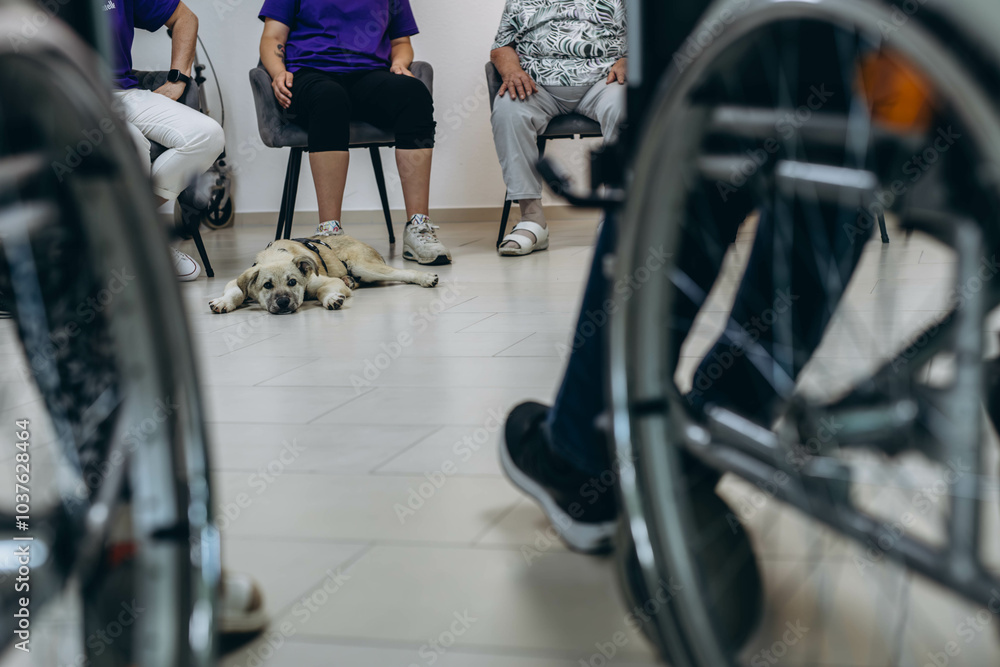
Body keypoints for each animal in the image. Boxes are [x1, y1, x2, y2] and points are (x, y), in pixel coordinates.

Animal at [208, 235, 438, 316]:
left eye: (292, 282)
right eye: (267, 285)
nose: (283, 303)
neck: (277, 255)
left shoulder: (325, 280)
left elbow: (324, 290)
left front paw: (331, 298)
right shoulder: (238, 281)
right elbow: (236, 291)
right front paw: (223, 302)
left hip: (364, 266)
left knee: (404, 272)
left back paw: (426, 278)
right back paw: (349, 281)